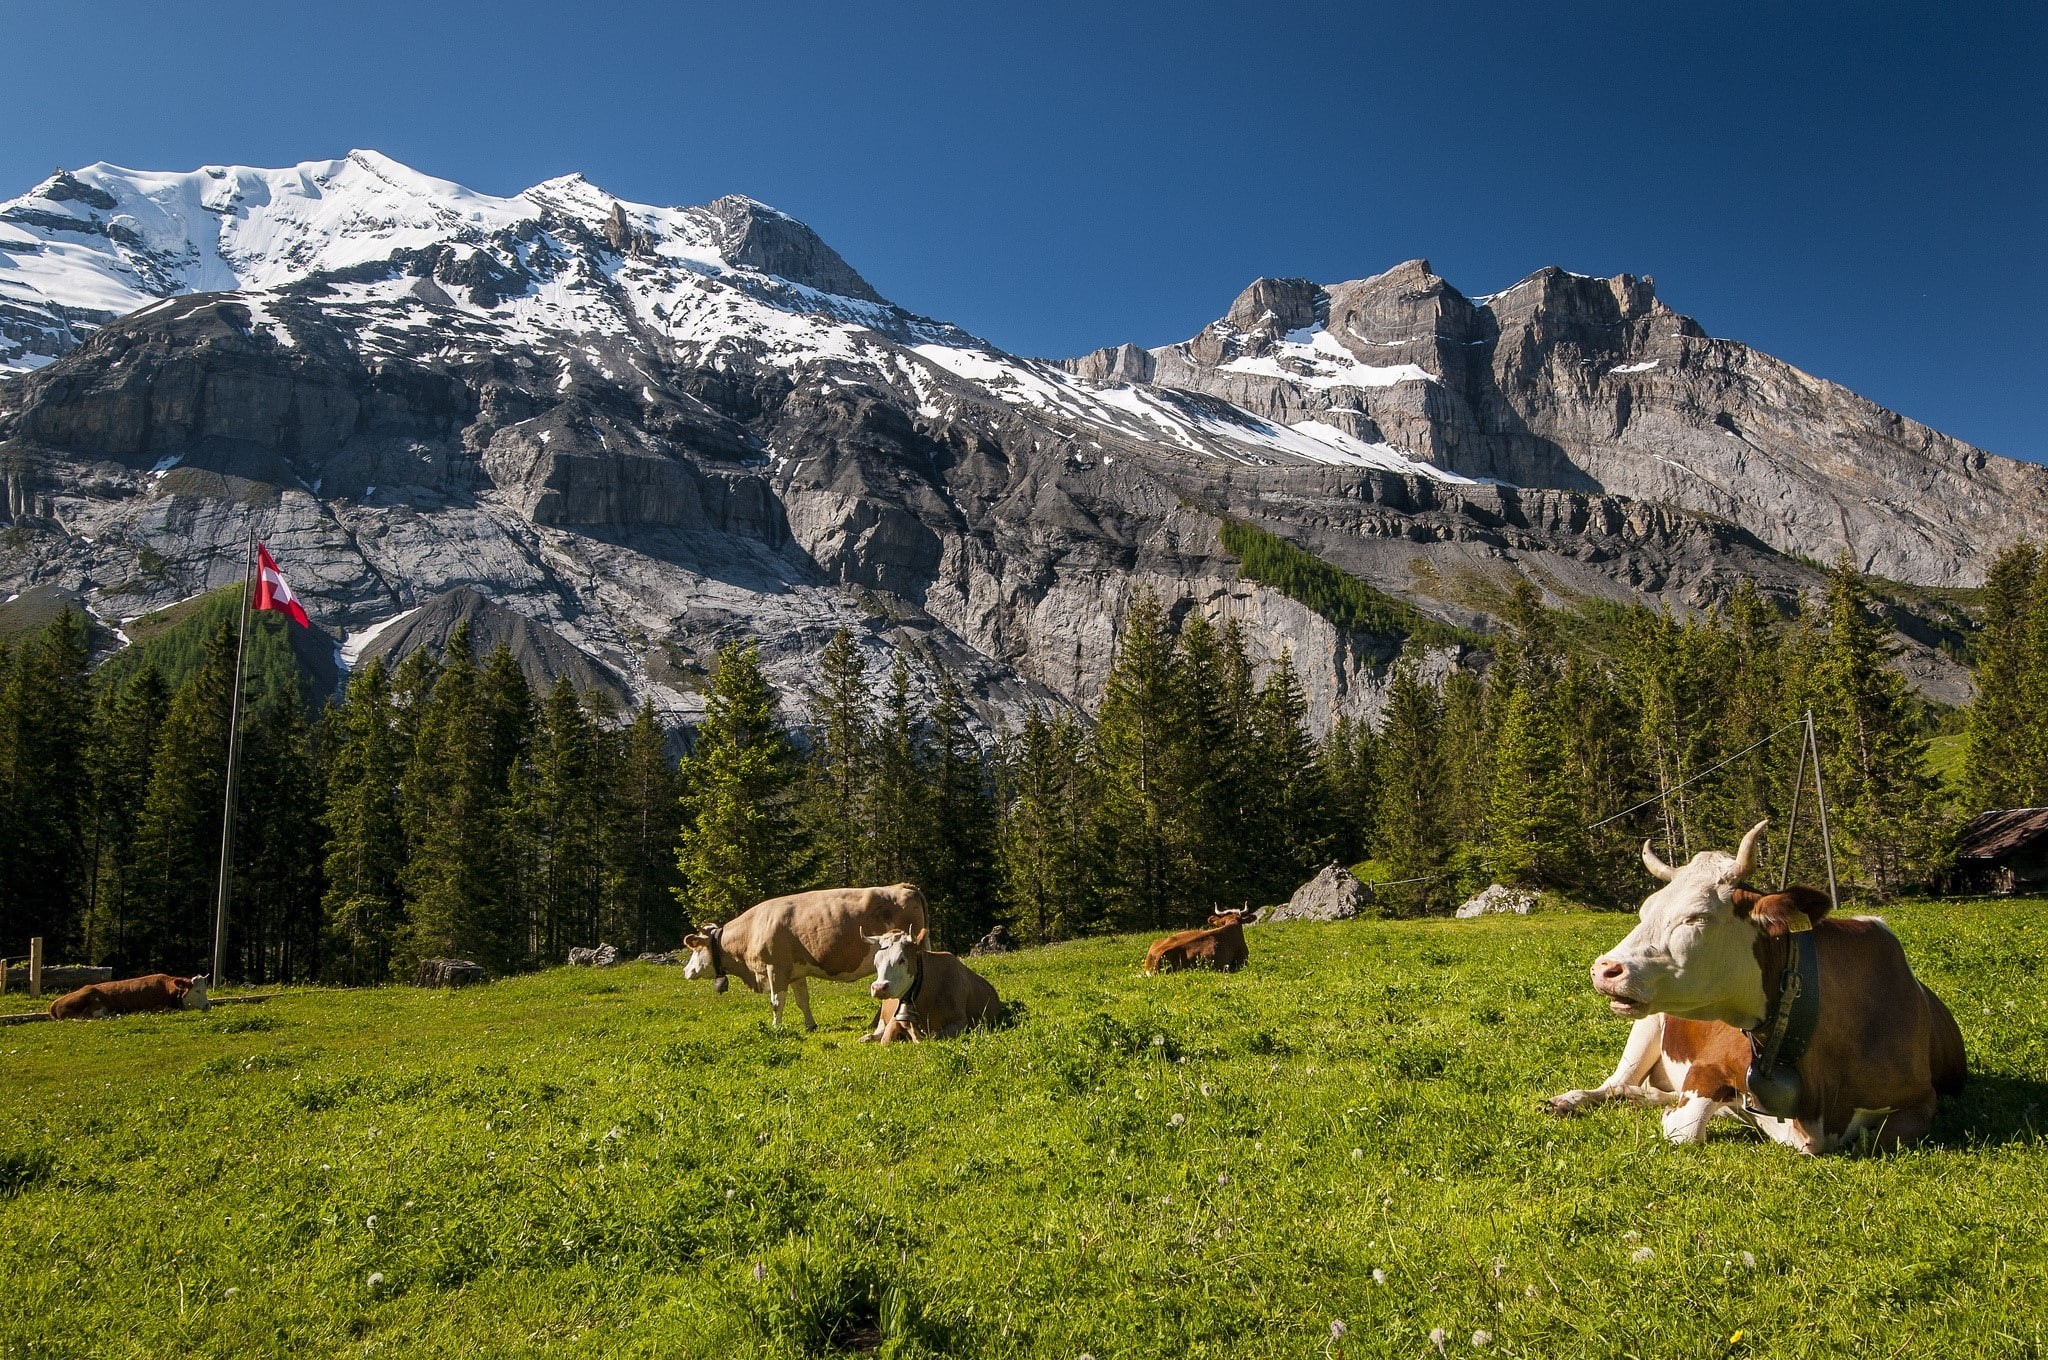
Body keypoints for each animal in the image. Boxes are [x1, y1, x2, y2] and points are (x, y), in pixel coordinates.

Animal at [49, 973, 210, 1021]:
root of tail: (55, 1003)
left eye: (205, 989)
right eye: (197, 991)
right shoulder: (157, 1007)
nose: (208, 1006)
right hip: (93, 1000)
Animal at [681, 884, 928, 1031]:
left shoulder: (776, 968)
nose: (686, 970)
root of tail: (902, 886)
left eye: (696, 949)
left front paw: (776, 1027)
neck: (753, 928)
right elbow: (803, 1001)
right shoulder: (795, 973)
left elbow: (776, 1002)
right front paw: (810, 1025)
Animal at [858, 928, 1002, 1043]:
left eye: (902, 959)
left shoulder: (960, 1022)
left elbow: (935, 1036)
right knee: (878, 1032)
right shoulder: (895, 1020)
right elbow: (885, 1039)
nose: (879, 988)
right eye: (876, 961)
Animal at [1547, 821, 1967, 1153]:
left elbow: (1881, 1139)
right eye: (1645, 910)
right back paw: (1569, 1100)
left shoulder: (1921, 1101)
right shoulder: (1709, 1066)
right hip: (1647, 1027)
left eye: (1698, 917)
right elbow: (1685, 1128)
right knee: (1613, 1085)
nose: (1604, 969)